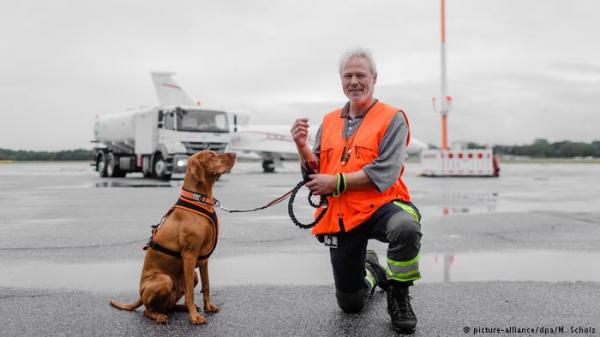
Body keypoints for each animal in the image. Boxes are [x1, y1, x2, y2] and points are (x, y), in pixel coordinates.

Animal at [110, 150, 237, 322]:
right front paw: (194, 317)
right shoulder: (189, 255)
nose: (235, 153)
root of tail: (140, 296)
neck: (199, 200)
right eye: (211, 155)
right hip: (165, 280)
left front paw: (208, 307)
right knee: (147, 310)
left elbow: (207, 285)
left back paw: (181, 308)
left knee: (170, 305)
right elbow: (191, 294)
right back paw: (159, 316)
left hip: (191, 277)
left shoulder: (204, 260)